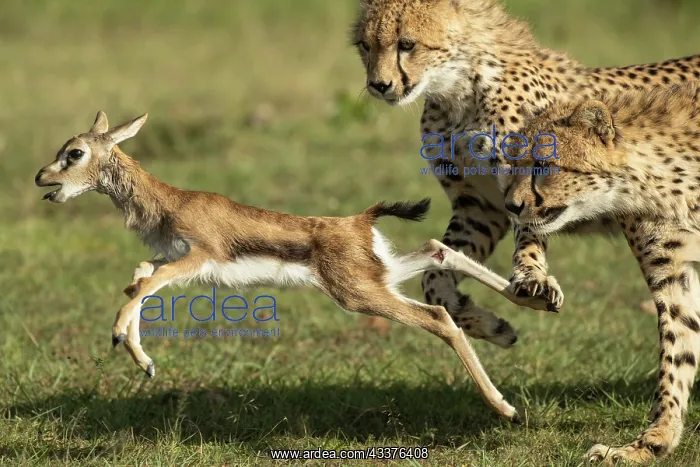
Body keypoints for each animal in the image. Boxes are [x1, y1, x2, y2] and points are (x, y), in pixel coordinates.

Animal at [351, 0, 700, 354]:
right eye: (366, 46)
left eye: (407, 44)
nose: (379, 85)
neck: (459, 92)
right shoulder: (479, 207)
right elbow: (434, 278)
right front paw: (486, 323)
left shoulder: (527, 188)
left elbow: (529, 232)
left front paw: (532, 278)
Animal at [501, 81, 700, 463]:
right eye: (514, 165)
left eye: (544, 165)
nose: (511, 206)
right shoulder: (674, 276)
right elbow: (677, 351)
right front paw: (650, 443)